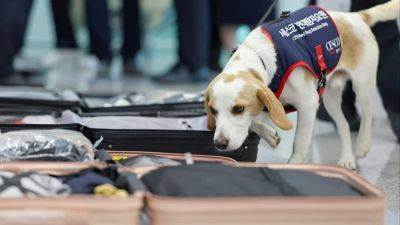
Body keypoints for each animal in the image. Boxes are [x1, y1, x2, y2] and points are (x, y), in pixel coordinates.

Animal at [205, 0, 398, 169]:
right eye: (213, 111)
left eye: (238, 109)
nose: (219, 144)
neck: (258, 56)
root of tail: (355, 16)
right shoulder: (269, 103)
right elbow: (253, 122)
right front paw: (269, 134)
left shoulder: (308, 104)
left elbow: (299, 142)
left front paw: (294, 165)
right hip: (329, 98)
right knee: (343, 125)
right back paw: (347, 159)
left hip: (362, 84)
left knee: (368, 112)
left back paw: (362, 145)